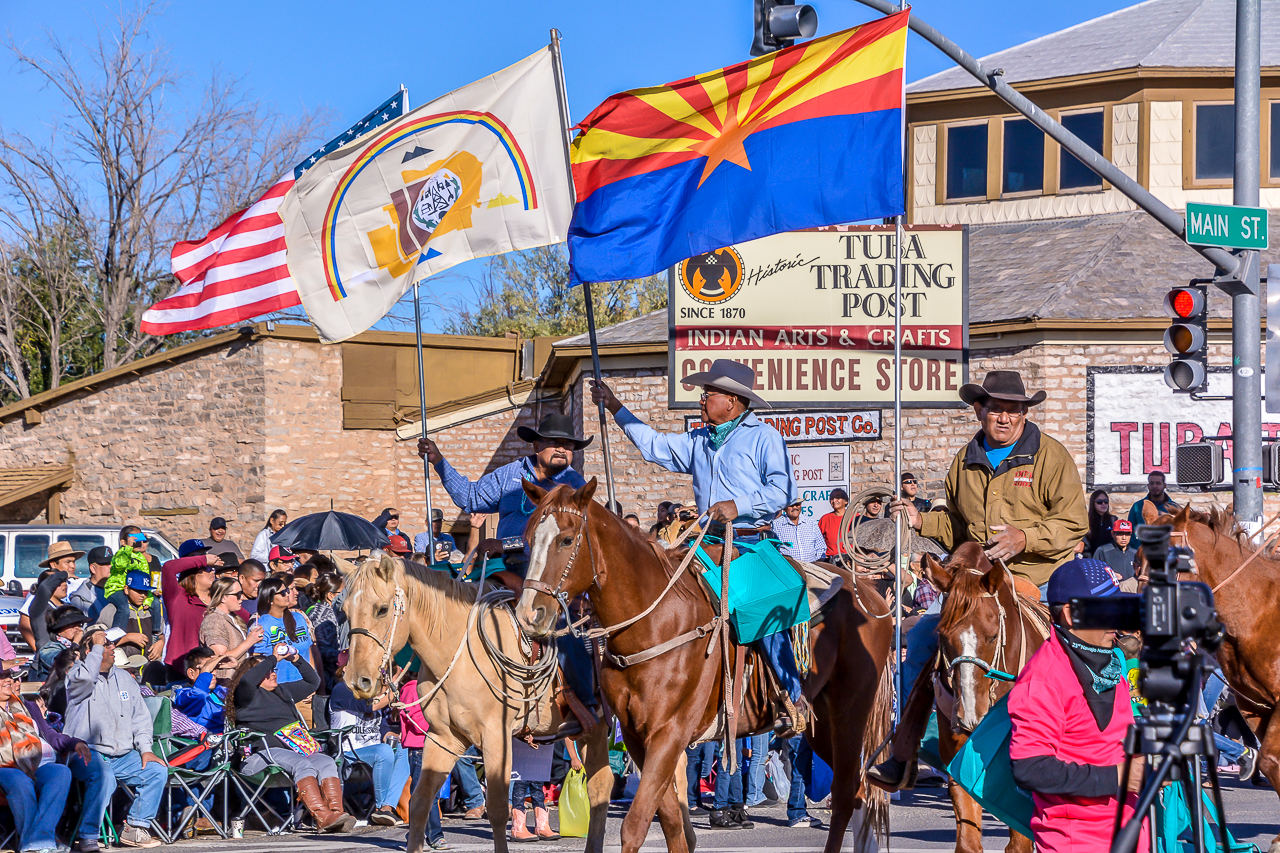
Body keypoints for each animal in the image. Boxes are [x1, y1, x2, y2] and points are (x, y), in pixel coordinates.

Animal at [340, 550, 614, 850]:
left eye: (382, 609)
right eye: (344, 612)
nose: (357, 680)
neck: (458, 654)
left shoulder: (496, 738)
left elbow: (498, 809)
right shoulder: (444, 739)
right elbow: (420, 803)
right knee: (600, 787)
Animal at [509, 479, 890, 850]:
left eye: (566, 539)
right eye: (528, 540)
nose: (529, 614)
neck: (655, 623)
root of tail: (870, 595)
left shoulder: (669, 734)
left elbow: (636, 825)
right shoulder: (637, 737)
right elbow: (672, 823)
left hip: (849, 710)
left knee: (847, 793)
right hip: (821, 722)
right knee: (855, 791)